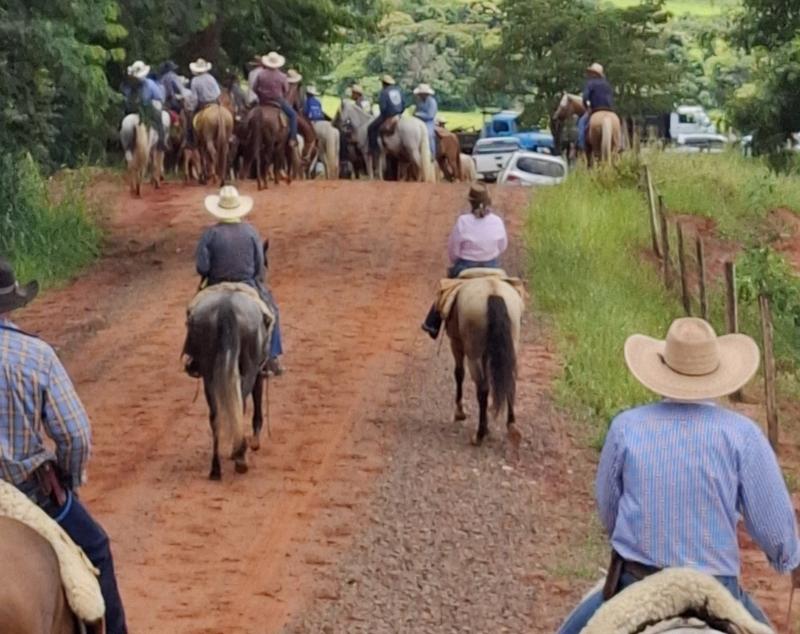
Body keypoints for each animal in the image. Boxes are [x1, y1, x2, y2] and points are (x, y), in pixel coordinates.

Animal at [183, 284, 270, 476]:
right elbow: (256, 399)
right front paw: (255, 442)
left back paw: (216, 468)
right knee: (241, 402)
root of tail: (226, 308)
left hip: (209, 373)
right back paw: (239, 456)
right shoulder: (257, 370)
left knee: (215, 415)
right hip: (249, 367)